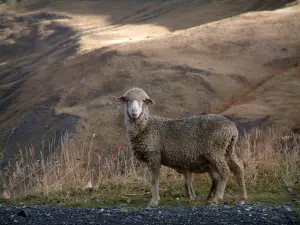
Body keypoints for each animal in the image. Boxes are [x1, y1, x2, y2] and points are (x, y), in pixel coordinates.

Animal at [116, 87, 246, 207]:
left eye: (144, 100)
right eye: (127, 100)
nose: (134, 111)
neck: (146, 126)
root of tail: (232, 129)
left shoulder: (154, 156)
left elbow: (154, 180)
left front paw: (154, 201)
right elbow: (184, 182)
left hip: (215, 151)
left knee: (225, 172)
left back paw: (216, 198)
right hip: (228, 150)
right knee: (238, 169)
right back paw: (241, 198)